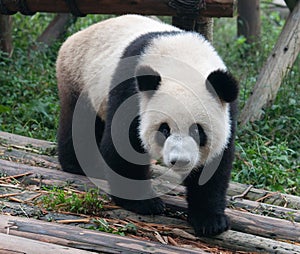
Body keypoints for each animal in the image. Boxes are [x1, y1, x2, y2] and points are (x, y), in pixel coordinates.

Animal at [56, 14, 239, 236]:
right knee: (80, 124)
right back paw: (79, 164)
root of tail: (75, 36)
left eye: (197, 131)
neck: (184, 64)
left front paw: (210, 220)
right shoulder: (131, 92)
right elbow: (122, 148)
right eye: (164, 129)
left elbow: (215, 167)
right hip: (80, 78)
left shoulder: (227, 110)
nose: (180, 161)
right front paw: (144, 203)